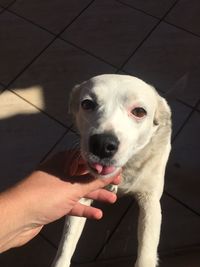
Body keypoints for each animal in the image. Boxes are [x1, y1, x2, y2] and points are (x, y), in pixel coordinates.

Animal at [52, 74, 172, 267]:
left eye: (139, 112)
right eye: (87, 104)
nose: (102, 144)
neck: (123, 172)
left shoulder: (151, 201)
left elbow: (146, 253)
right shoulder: (83, 197)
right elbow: (65, 247)